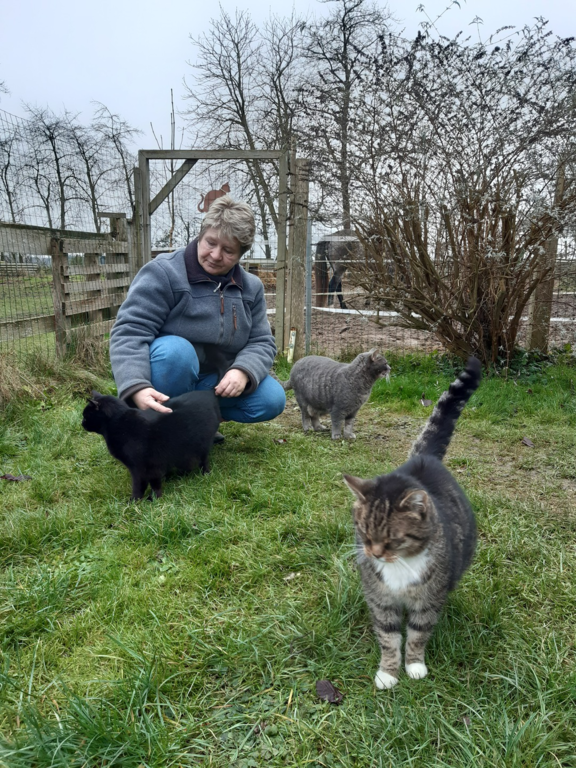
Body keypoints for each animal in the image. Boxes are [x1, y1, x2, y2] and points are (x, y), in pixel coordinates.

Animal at [82, 389, 221, 500]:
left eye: (85, 416)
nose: (82, 423)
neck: (121, 424)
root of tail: (208, 392)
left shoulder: (143, 466)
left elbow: (142, 484)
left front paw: (141, 500)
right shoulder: (148, 466)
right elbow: (151, 482)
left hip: (202, 444)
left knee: (203, 460)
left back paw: (205, 474)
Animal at [343, 357, 481, 689]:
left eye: (393, 539)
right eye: (364, 533)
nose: (374, 554)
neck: (400, 566)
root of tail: (425, 459)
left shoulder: (428, 602)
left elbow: (418, 634)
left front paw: (415, 665)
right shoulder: (381, 600)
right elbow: (388, 636)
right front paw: (388, 672)